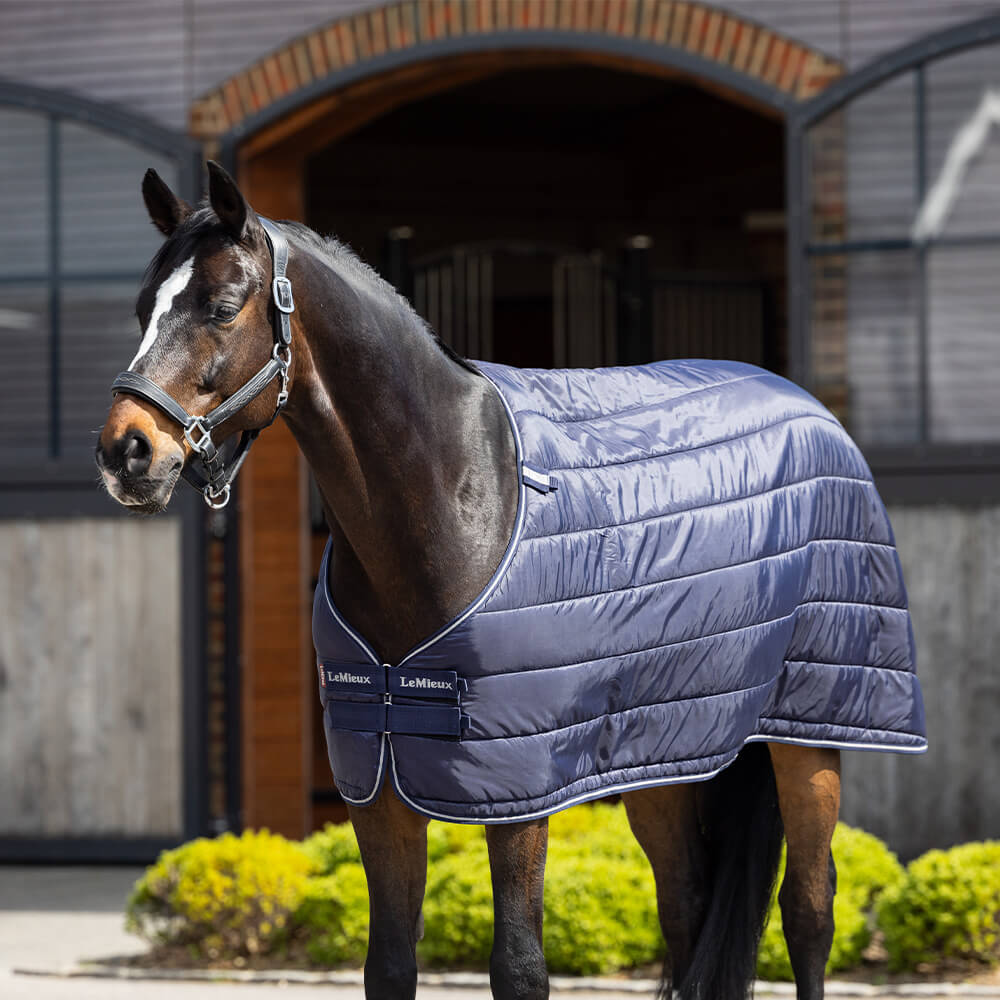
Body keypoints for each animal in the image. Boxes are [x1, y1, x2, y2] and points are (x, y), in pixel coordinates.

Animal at [96, 162, 926, 1000]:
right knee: (687, 905)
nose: (127, 452)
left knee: (809, 908)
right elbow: (388, 963)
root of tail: (808, 406)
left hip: (810, 735)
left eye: (222, 305)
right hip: (669, 747)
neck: (458, 491)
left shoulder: (517, 785)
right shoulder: (378, 782)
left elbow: (520, 966)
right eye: (140, 307)